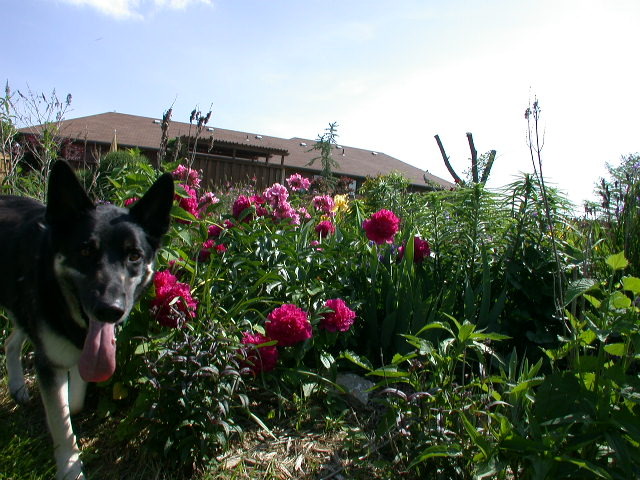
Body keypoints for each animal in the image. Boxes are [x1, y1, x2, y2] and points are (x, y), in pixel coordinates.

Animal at [0, 159, 175, 478]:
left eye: (134, 255)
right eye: (84, 250)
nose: (110, 309)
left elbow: (75, 401)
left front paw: (69, 404)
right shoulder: (50, 357)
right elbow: (62, 424)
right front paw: (70, 469)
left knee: (11, 340)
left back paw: (18, 386)